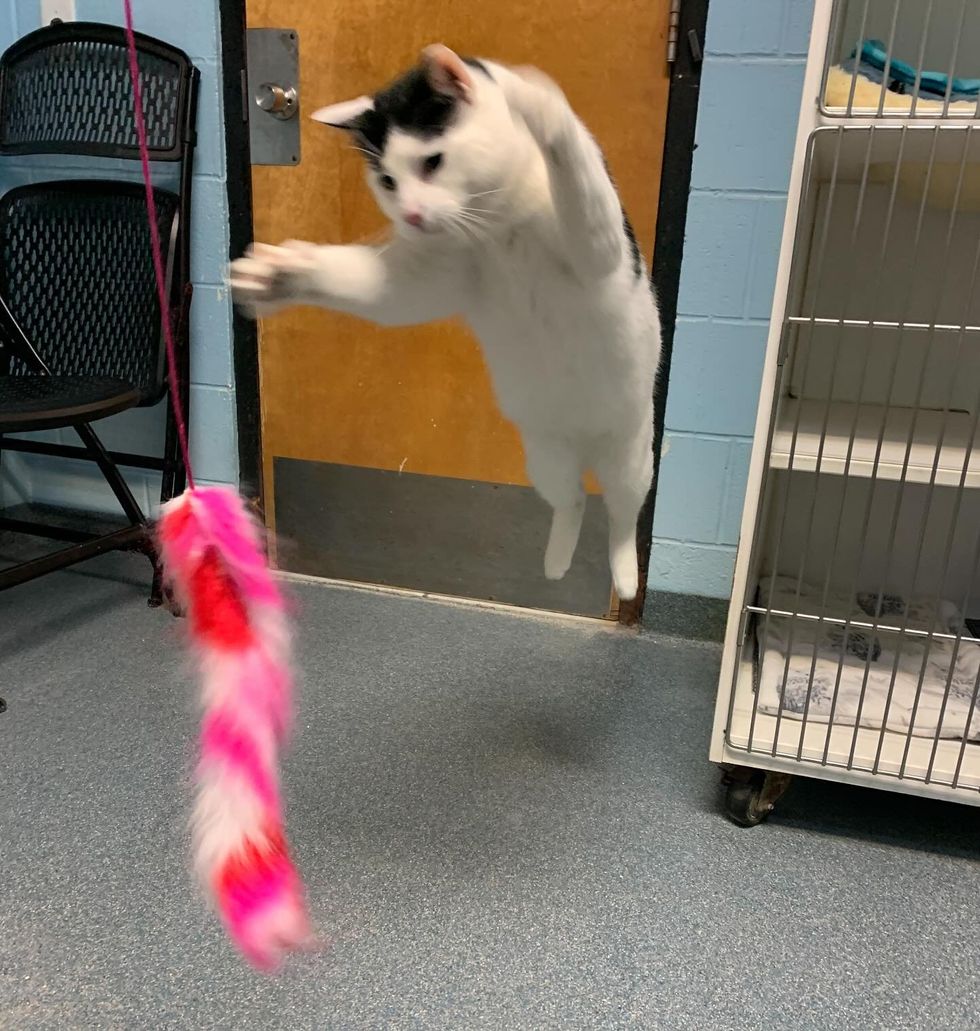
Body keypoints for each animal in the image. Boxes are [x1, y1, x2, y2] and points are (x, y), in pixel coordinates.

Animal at [228, 44, 659, 602]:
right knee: (573, 502)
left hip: (629, 458)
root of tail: (583, 444)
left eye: (431, 162)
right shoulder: (422, 281)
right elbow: (359, 282)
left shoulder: (598, 247)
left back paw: (625, 576)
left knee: (623, 515)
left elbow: (570, 158)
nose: (410, 216)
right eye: (387, 180)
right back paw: (557, 561)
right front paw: (276, 275)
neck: (496, 226)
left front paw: (536, 99)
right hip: (547, 458)